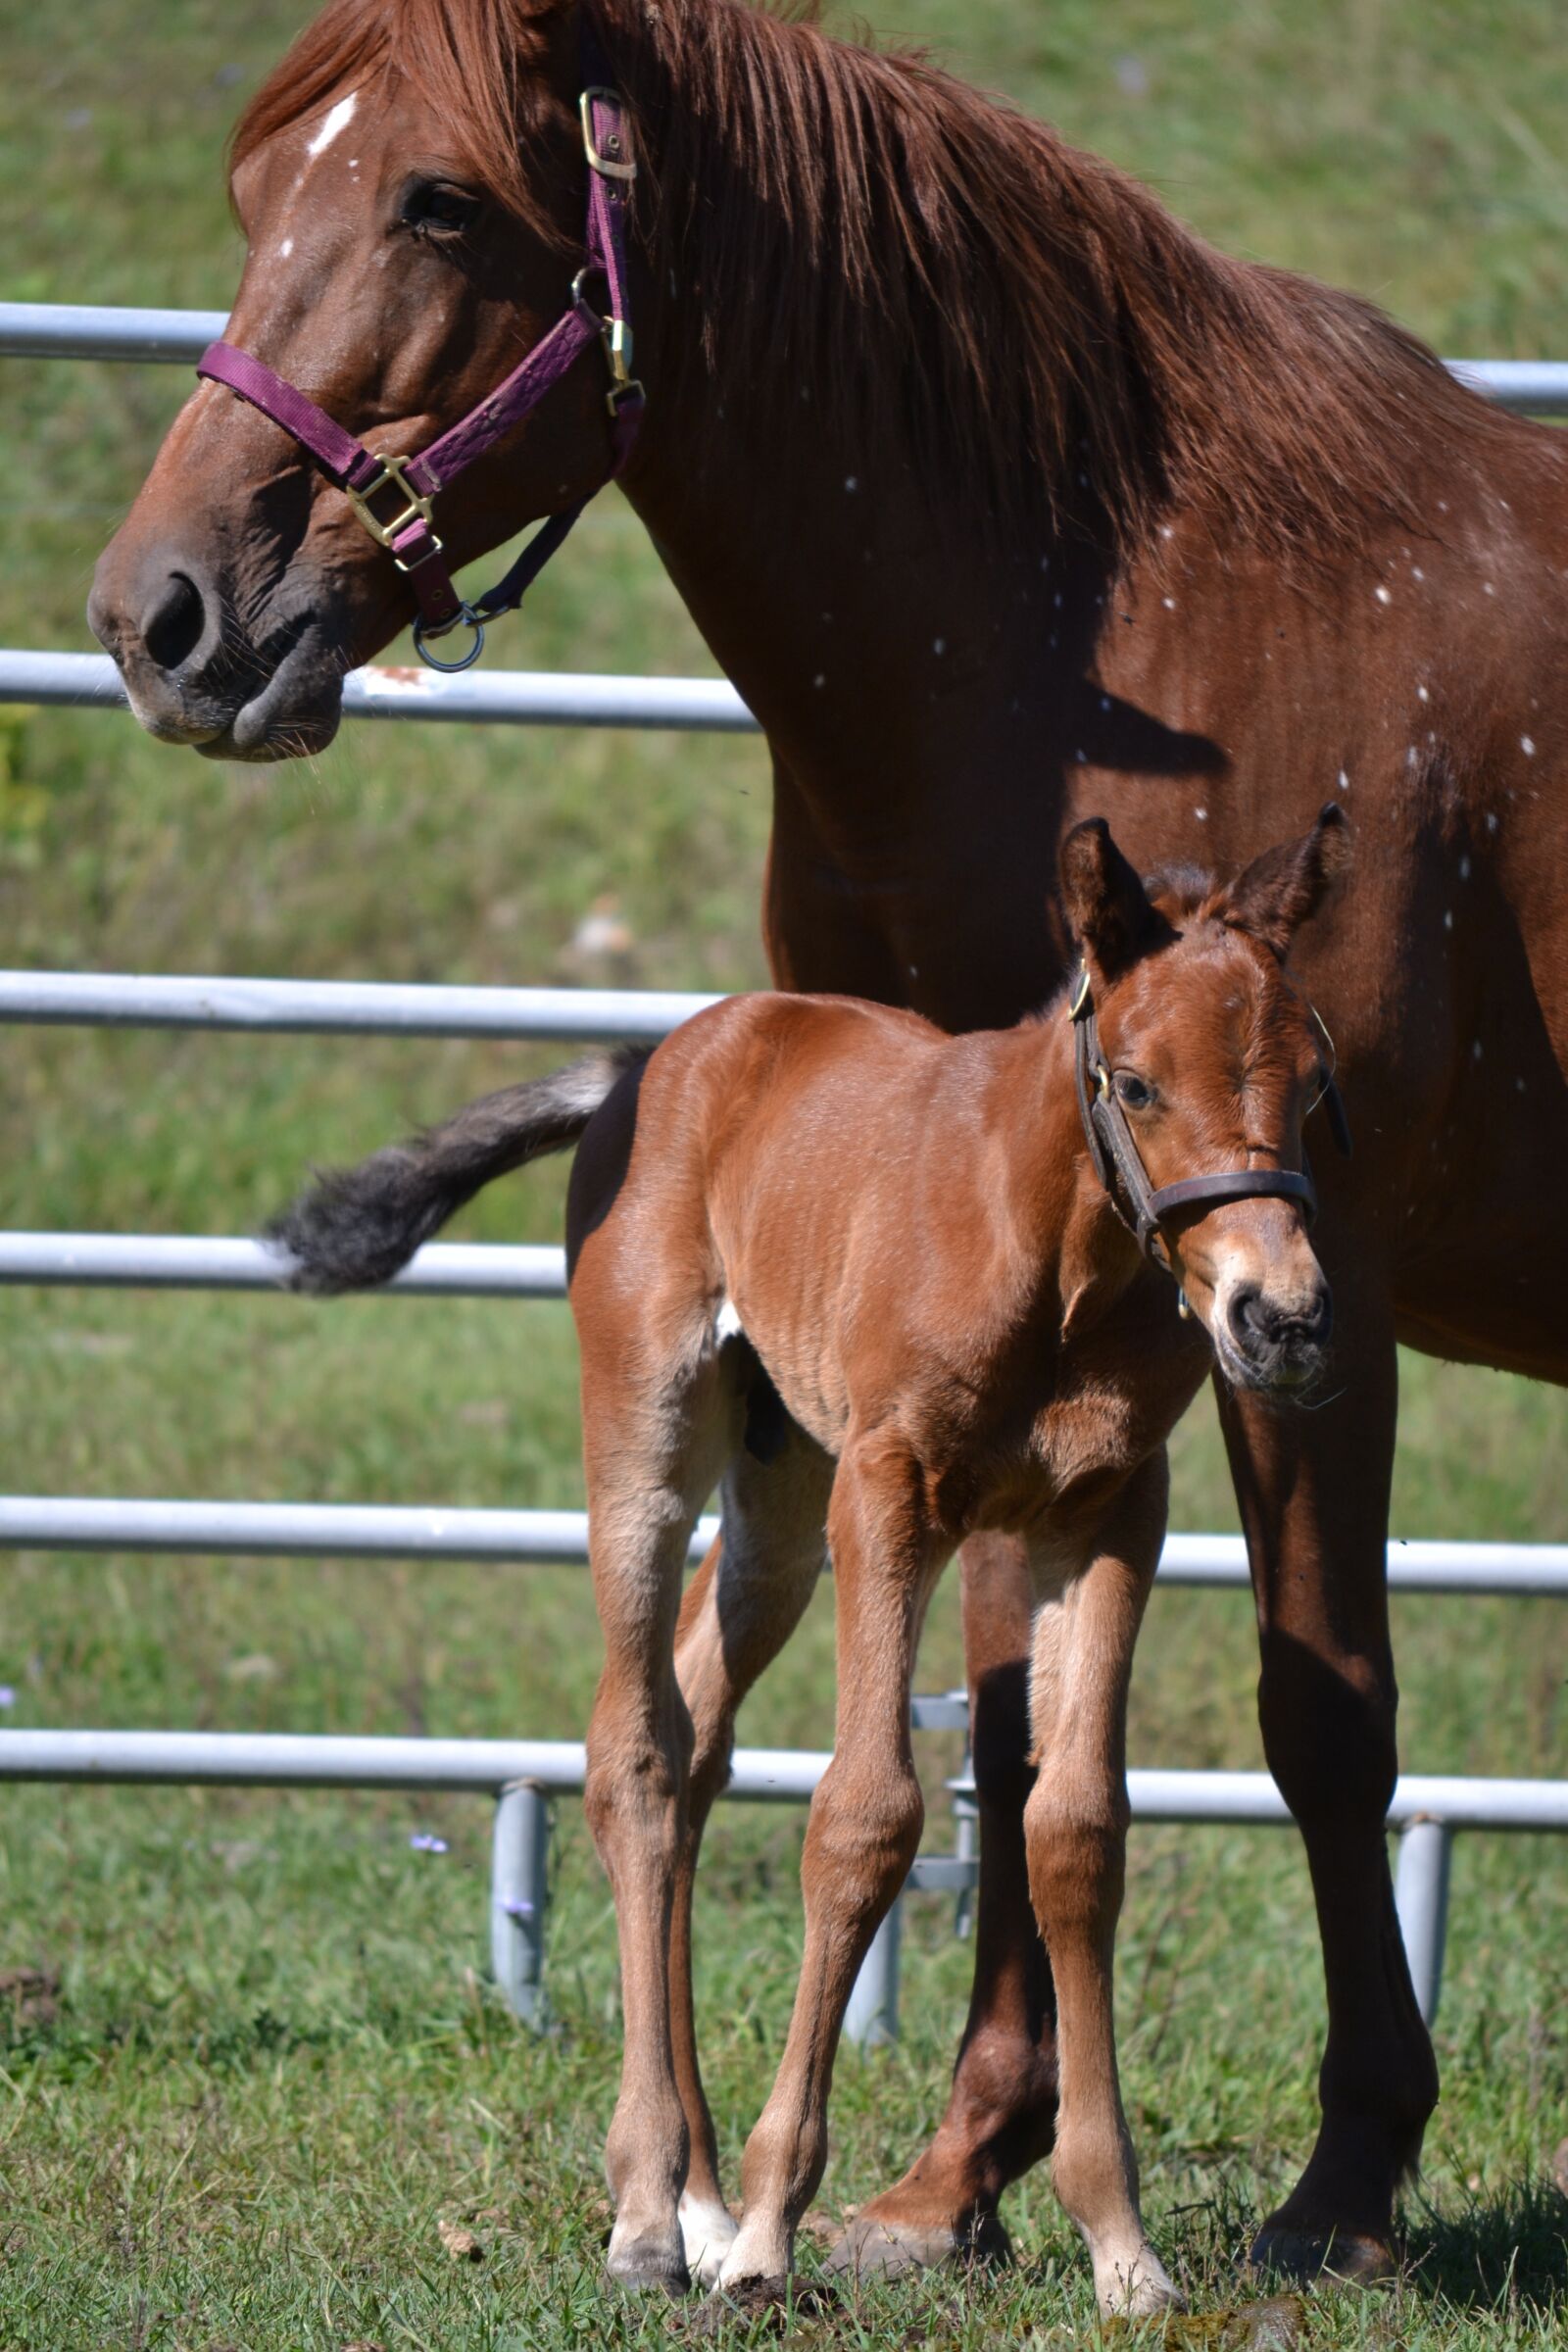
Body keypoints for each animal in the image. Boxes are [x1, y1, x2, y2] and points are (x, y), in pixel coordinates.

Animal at [271, 810, 1349, 2311]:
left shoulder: (1108, 1515)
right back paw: (651, 2219)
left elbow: (1075, 1830)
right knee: (633, 1750)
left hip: (780, 1497)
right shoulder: (889, 1501)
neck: (1050, 1252)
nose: (1283, 1319)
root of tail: (654, 1058)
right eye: (1134, 1083)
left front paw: (1121, 2248)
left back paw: (694, 2200)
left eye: (1314, 1078)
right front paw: (778, 2229)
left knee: (695, 1737)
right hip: (651, 1438)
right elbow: (863, 1819)